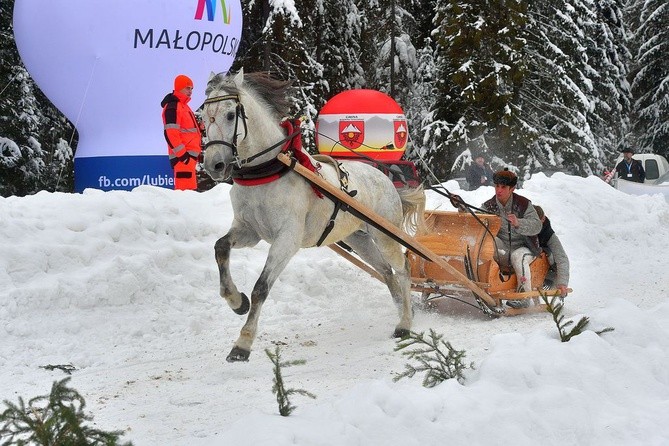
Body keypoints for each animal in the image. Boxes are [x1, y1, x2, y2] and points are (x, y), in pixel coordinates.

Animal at [201, 69, 428, 362]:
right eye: (203, 117)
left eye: (230, 115)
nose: (213, 165)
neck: (267, 171)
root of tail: (386, 179)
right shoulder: (248, 230)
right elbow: (221, 247)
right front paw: (236, 301)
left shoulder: (287, 239)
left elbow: (261, 287)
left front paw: (243, 343)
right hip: (359, 240)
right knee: (387, 273)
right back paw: (401, 311)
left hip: (385, 235)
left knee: (403, 269)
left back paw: (405, 323)